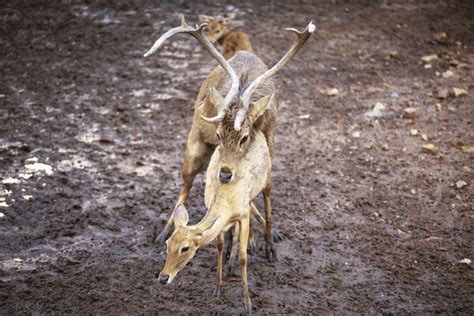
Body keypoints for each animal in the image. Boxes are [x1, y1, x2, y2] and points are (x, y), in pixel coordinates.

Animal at [144, 16, 314, 262]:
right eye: (218, 135)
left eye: (244, 138)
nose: (224, 174)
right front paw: (236, 249)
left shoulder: (269, 143)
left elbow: (264, 192)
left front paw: (269, 245)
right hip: (194, 151)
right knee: (186, 187)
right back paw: (164, 233)